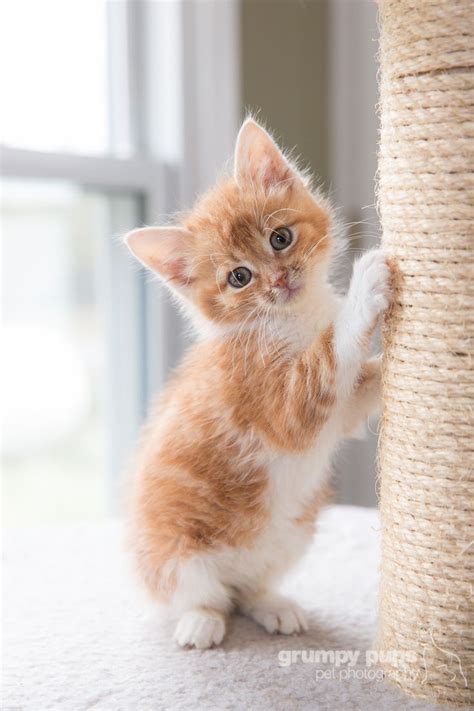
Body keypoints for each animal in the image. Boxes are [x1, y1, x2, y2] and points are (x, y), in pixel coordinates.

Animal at [124, 118, 390, 652]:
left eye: (280, 238)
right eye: (239, 277)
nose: (280, 280)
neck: (290, 319)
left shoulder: (340, 412)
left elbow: (356, 387)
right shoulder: (279, 402)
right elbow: (332, 353)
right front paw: (366, 284)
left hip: (294, 533)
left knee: (246, 589)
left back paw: (271, 604)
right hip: (175, 554)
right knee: (210, 595)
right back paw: (201, 622)